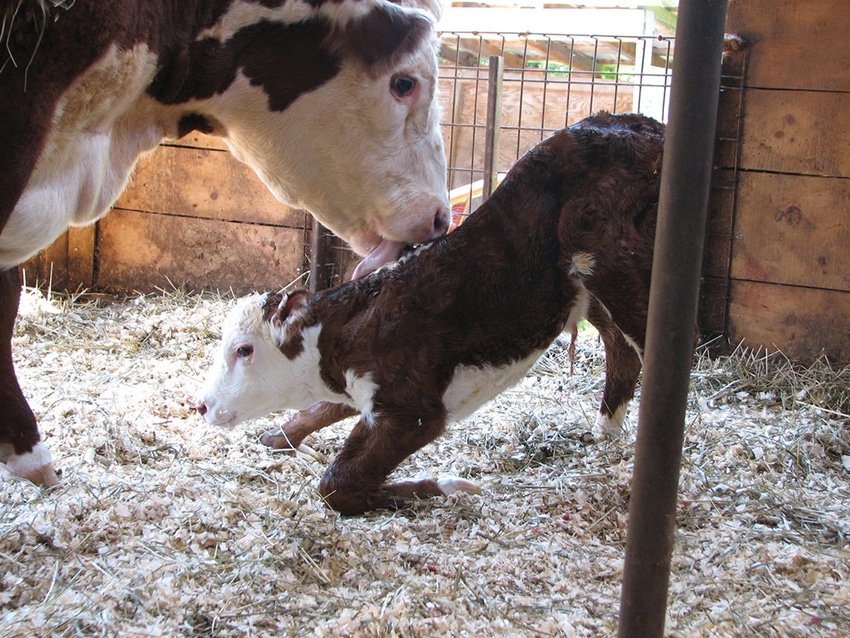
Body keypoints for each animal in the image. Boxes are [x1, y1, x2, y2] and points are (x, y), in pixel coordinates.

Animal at [196, 112, 664, 515]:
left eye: (243, 350)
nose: (200, 405)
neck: (345, 333)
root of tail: (633, 122)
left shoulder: (414, 411)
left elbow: (338, 483)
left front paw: (445, 487)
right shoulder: (368, 392)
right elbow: (316, 414)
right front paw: (278, 434)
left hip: (617, 264)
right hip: (588, 288)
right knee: (621, 349)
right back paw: (606, 430)